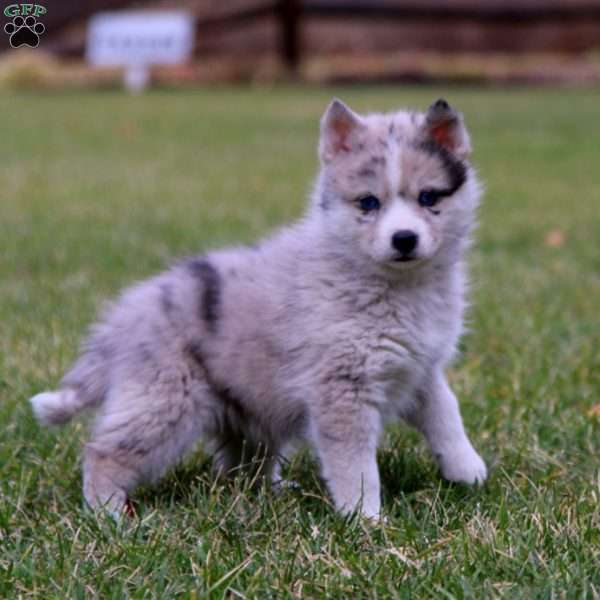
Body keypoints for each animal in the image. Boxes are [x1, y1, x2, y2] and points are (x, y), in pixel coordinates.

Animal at [29, 99, 488, 520]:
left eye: (428, 197)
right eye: (369, 203)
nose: (404, 239)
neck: (395, 283)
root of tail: (126, 317)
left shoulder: (420, 366)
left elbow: (447, 414)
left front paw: (468, 471)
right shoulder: (342, 388)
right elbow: (356, 465)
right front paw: (365, 519)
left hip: (249, 406)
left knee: (240, 465)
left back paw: (271, 492)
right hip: (165, 402)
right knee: (104, 451)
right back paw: (108, 513)